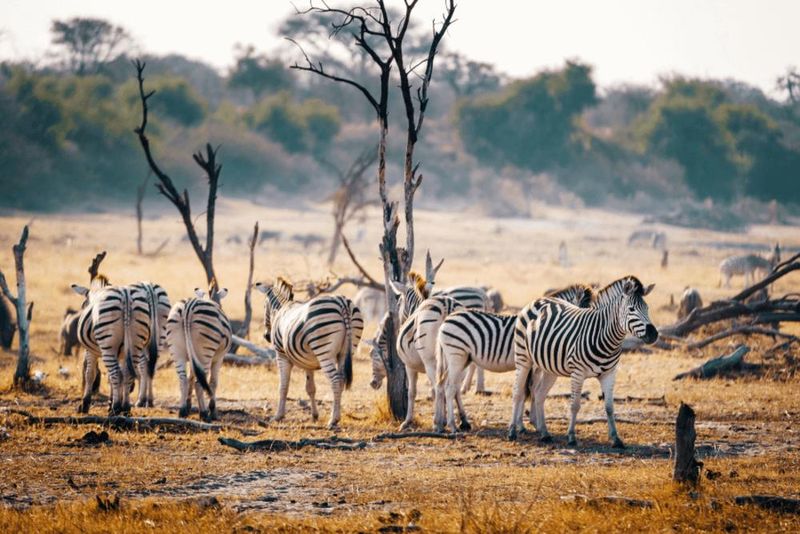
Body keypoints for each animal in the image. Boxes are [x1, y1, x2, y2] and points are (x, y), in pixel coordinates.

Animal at [71, 278, 152, 416]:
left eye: (83, 305)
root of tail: (126, 295)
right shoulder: (121, 354)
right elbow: (114, 377)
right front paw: (111, 403)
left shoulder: (90, 351)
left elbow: (90, 374)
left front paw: (84, 405)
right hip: (135, 345)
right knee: (127, 375)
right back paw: (125, 408)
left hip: (107, 345)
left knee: (116, 374)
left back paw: (116, 409)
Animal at [162, 288, 231, 422]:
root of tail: (188, 307)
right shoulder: (219, 358)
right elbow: (213, 382)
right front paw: (213, 411)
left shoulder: (192, 358)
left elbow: (191, 377)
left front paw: (188, 405)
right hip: (205, 353)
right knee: (199, 383)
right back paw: (204, 414)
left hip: (176, 349)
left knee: (183, 380)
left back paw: (182, 411)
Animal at [256, 278, 362, 430]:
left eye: (264, 306)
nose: (266, 336)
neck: (283, 308)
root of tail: (342, 302)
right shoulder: (308, 362)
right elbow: (310, 388)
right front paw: (314, 415)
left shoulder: (281, 355)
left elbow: (283, 386)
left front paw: (278, 416)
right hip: (347, 351)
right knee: (341, 380)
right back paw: (335, 417)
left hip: (324, 351)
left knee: (335, 381)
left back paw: (333, 420)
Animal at [510, 276, 660, 448]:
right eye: (631, 309)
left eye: (647, 308)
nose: (653, 334)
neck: (606, 338)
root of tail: (537, 300)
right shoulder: (578, 372)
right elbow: (575, 405)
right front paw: (571, 437)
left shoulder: (609, 374)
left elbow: (609, 407)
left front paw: (616, 438)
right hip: (524, 359)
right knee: (518, 393)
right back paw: (512, 431)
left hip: (549, 367)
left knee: (539, 394)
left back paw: (545, 434)